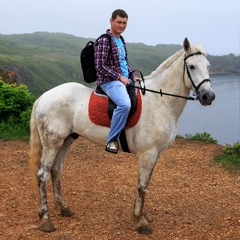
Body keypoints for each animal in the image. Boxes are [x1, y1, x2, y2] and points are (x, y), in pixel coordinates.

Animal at [29, 38, 215, 234]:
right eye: (192, 66)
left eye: (208, 66)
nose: (208, 96)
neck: (160, 101)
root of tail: (43, 97)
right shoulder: (147, 153)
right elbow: (142, 186)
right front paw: (140, 221)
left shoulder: (154, 154)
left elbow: (146, 184)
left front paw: (141, 214)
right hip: (52, 143)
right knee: (42, 174)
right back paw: (46, 219)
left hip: (66, 140)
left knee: (56, 170)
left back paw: (64, 208)